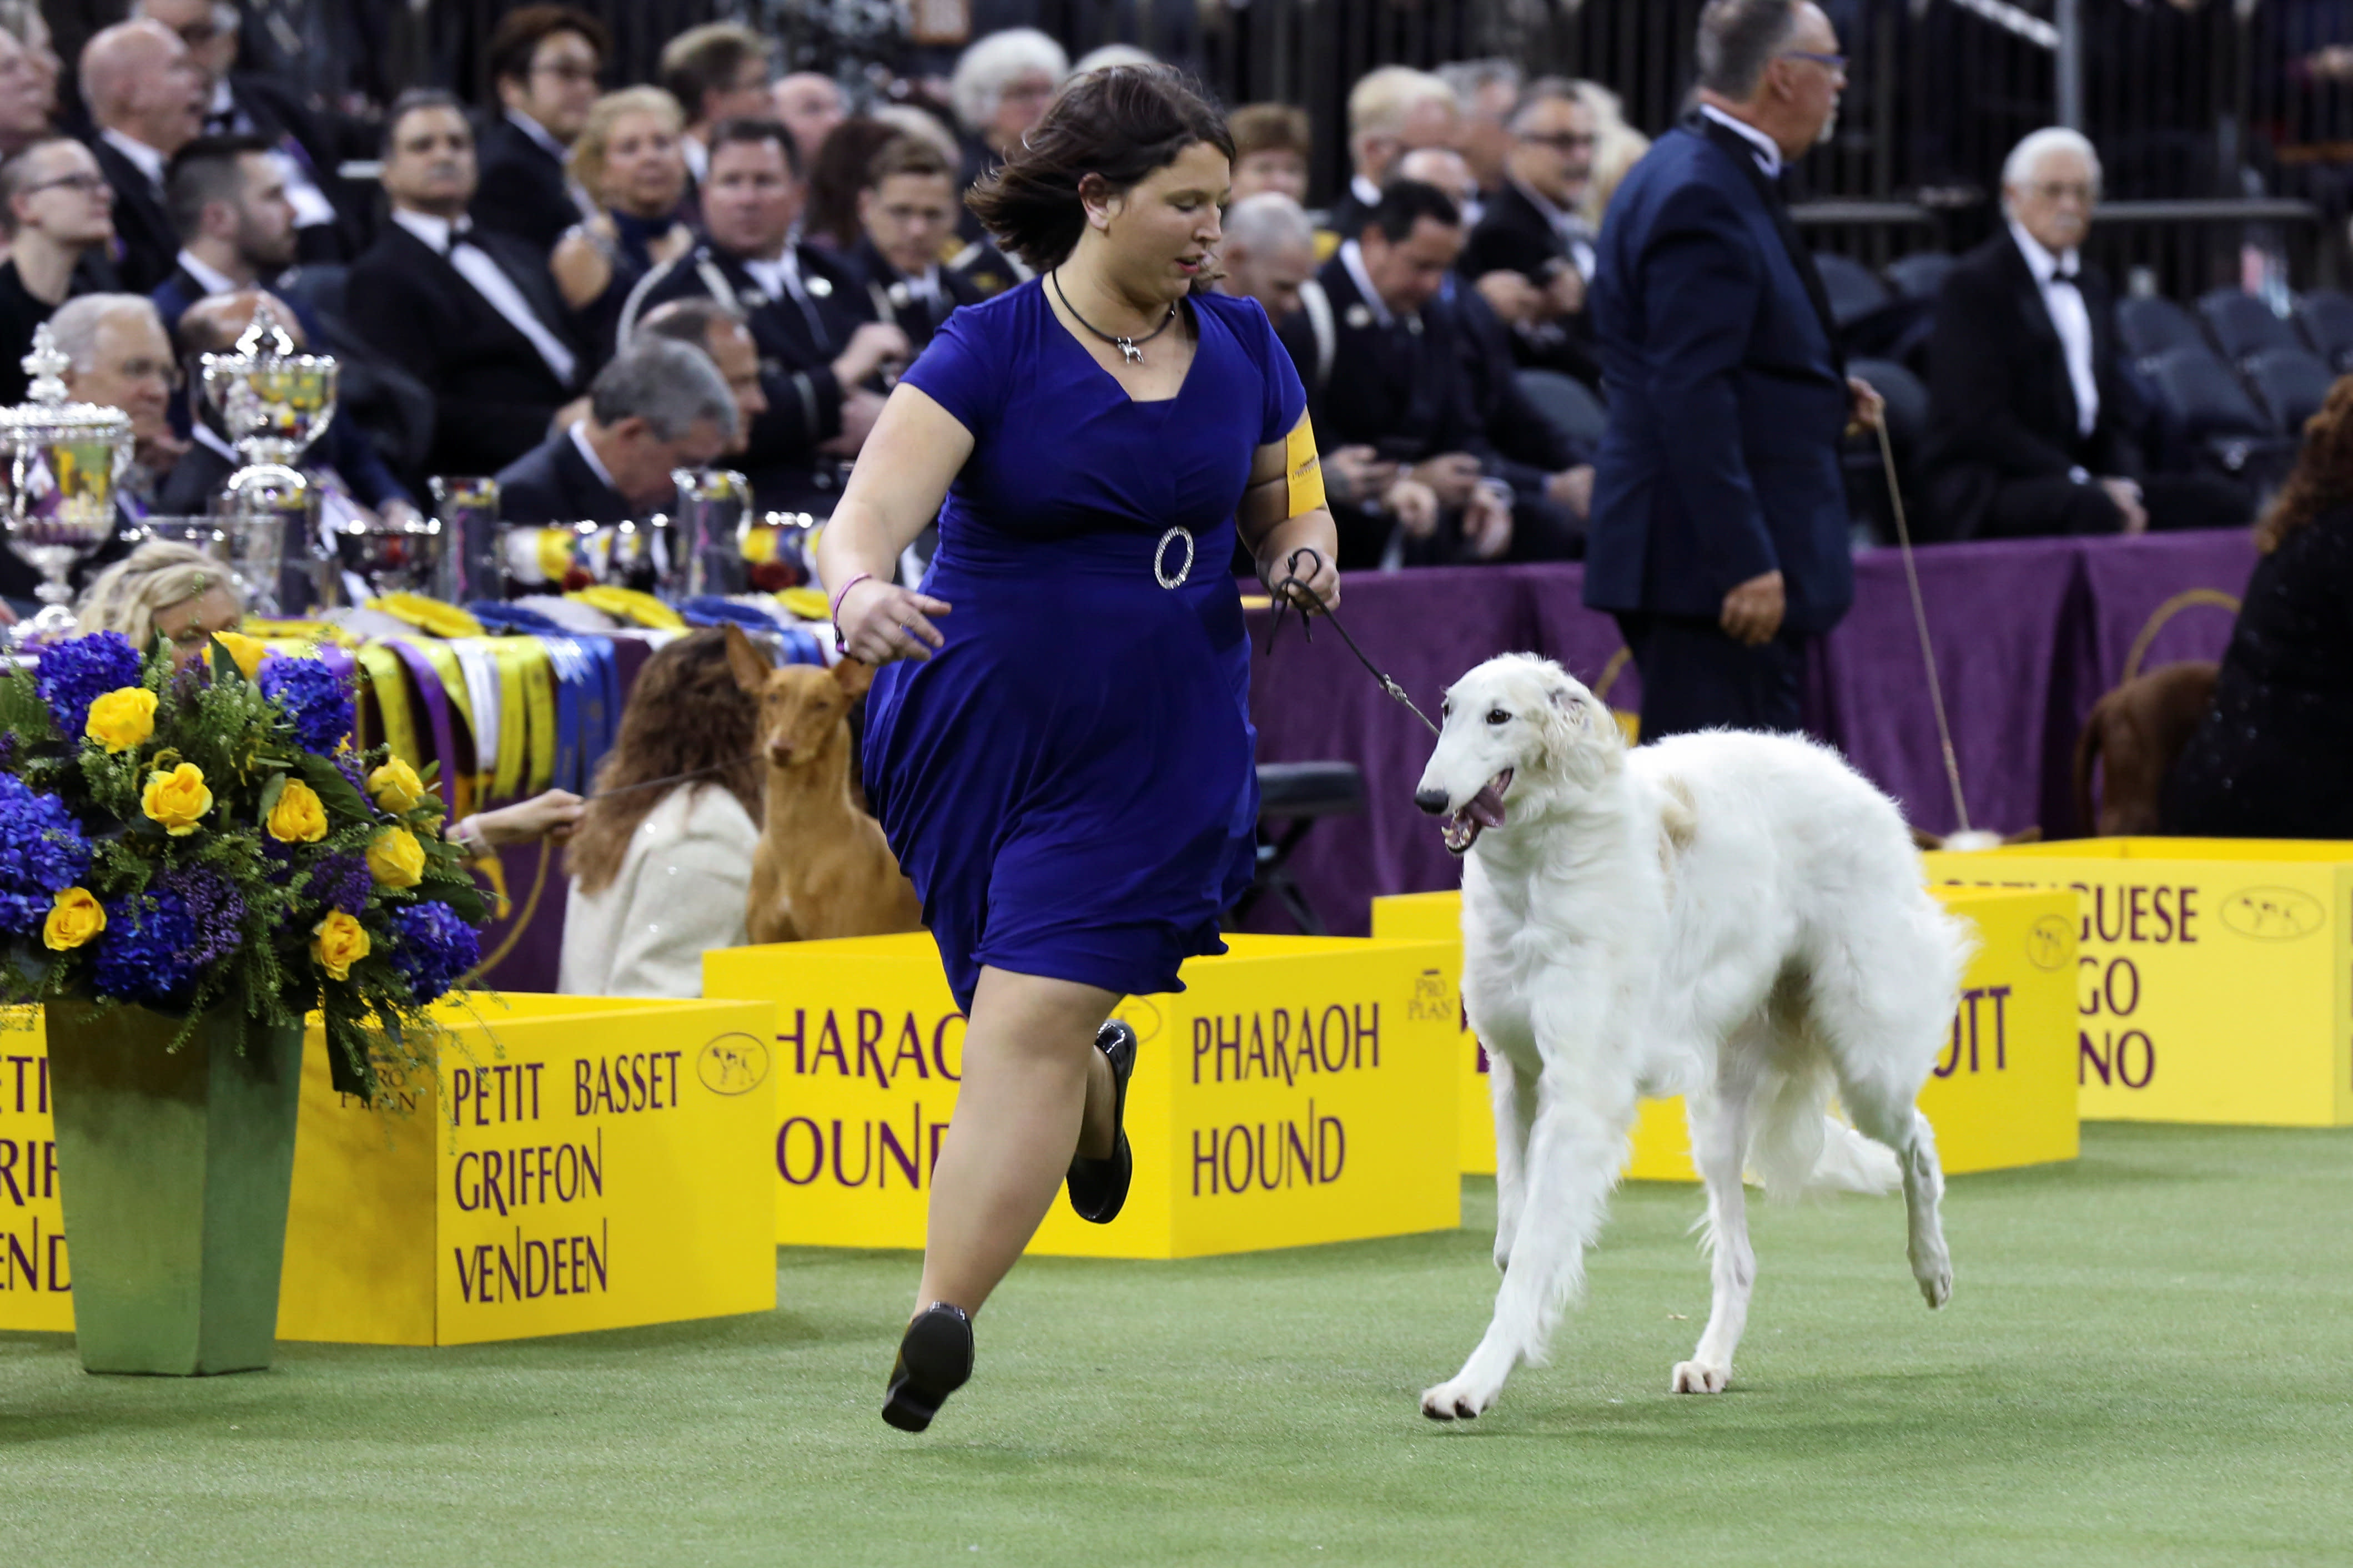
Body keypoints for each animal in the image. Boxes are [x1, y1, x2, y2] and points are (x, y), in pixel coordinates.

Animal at [1402, 658, 1976, 1420]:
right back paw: (1710, 1363)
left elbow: (1528, 1259)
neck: (1540, 869)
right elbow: (1512, 1228)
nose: (1428, 798)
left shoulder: (1581, 1094)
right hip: (1718, 1116)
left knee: (1919, 1145)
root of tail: (1854, 780)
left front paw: (1472, 1383)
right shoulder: (1516, 1068)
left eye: (1499, 716)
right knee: (1739, 1259)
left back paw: (1932, 1268)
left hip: (1866, 1055)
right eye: (1446, 709)